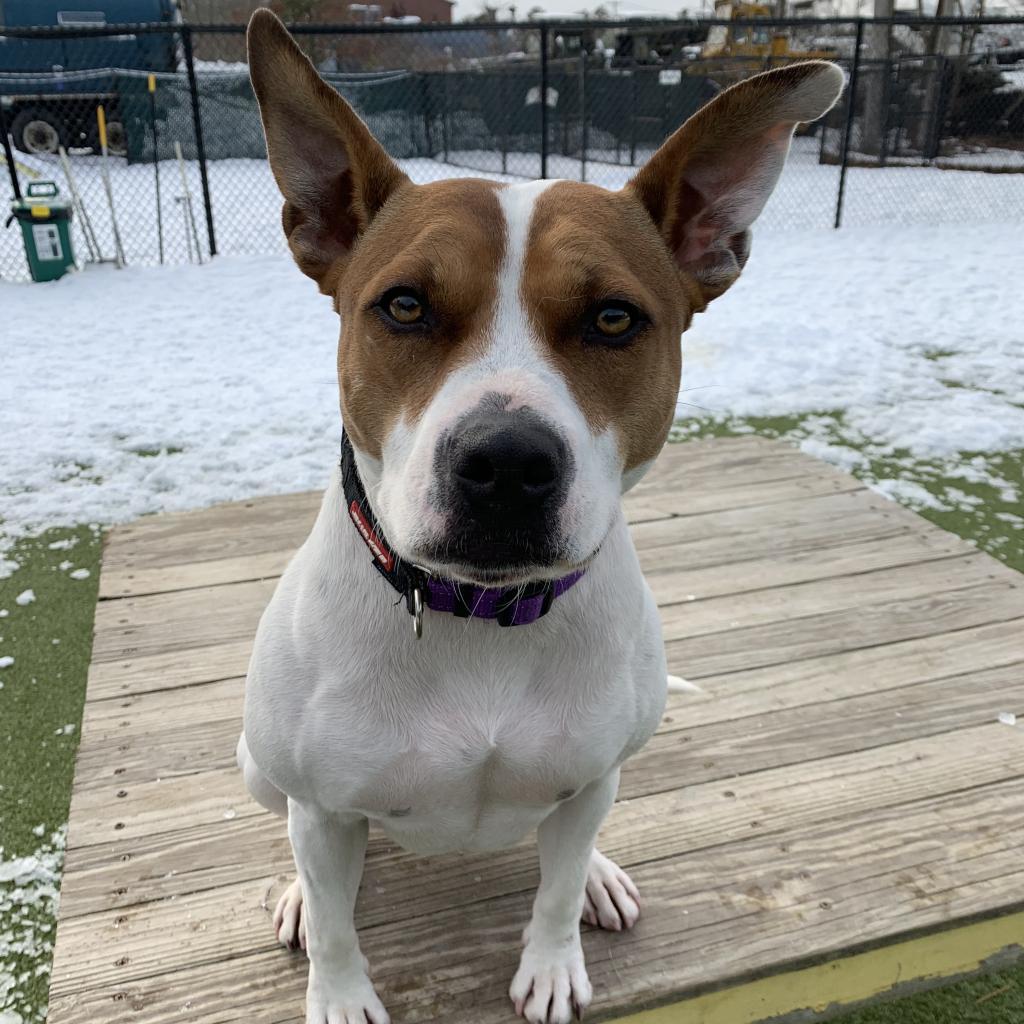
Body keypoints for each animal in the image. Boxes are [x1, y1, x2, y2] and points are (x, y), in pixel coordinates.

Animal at [237, 9, 839, 1024]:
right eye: (405, 305)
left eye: (613, 319)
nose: (507, 465)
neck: (480, 616)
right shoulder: (320, 807)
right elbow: (337, 919)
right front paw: (339, 989)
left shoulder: (592, 776)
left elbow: (552, 888)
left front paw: (555, 960)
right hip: (256, 764)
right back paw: (294, 894)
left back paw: (597, 873)